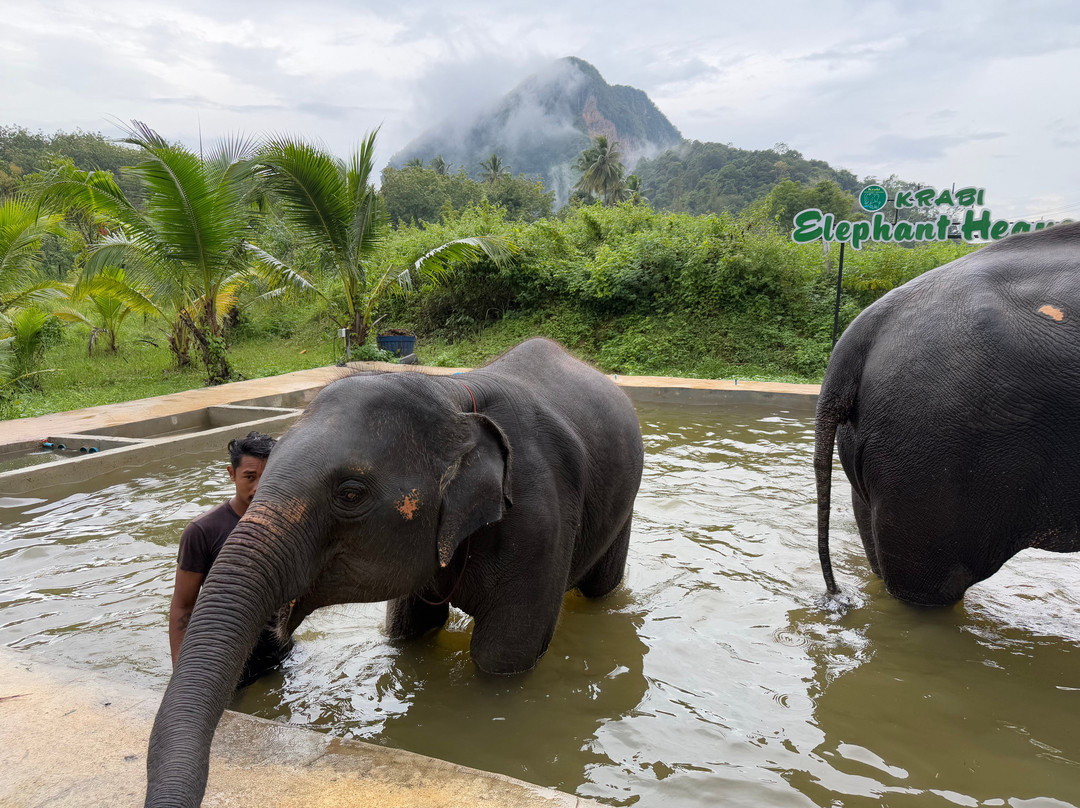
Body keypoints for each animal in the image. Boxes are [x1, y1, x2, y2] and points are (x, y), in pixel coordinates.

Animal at [144, 337, 644, 807]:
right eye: (259, 475)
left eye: (350, 493)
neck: (453, 399)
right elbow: (408, 629)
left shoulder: (539, 523)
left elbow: (503, 655)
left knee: (600, 589)